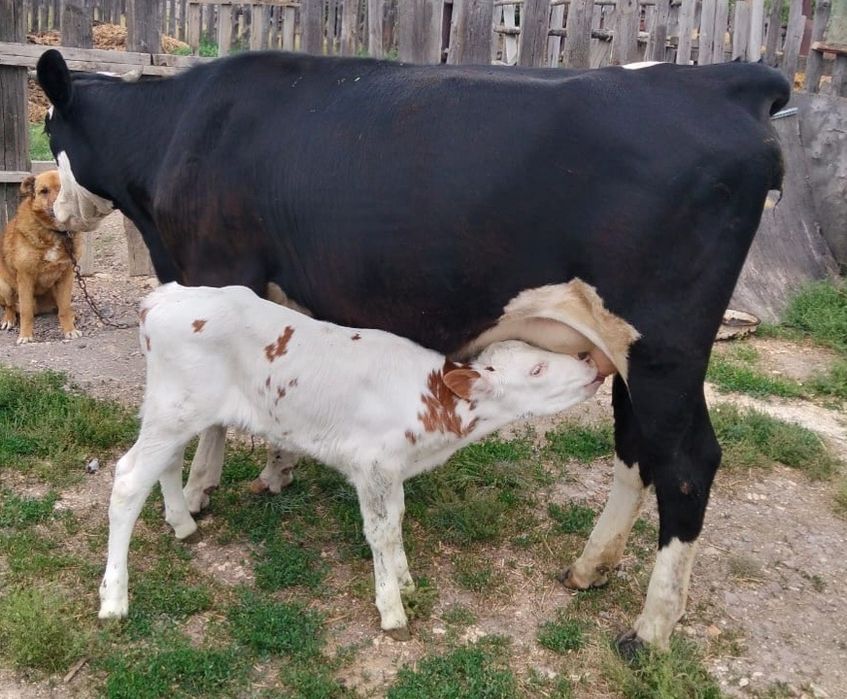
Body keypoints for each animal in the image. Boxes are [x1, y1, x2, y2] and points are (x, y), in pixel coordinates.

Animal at [36, 47, 791, 653]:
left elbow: (223, 412)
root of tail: (726, 77)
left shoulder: (224, 267)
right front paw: (277, 466)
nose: (56, 213)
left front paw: (201, 487)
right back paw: (590, 567)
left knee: (686, 462)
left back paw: (650, 629)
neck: (182, 126)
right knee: (637, 448)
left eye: (48, 128)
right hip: (630, 350)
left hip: (662, 344)